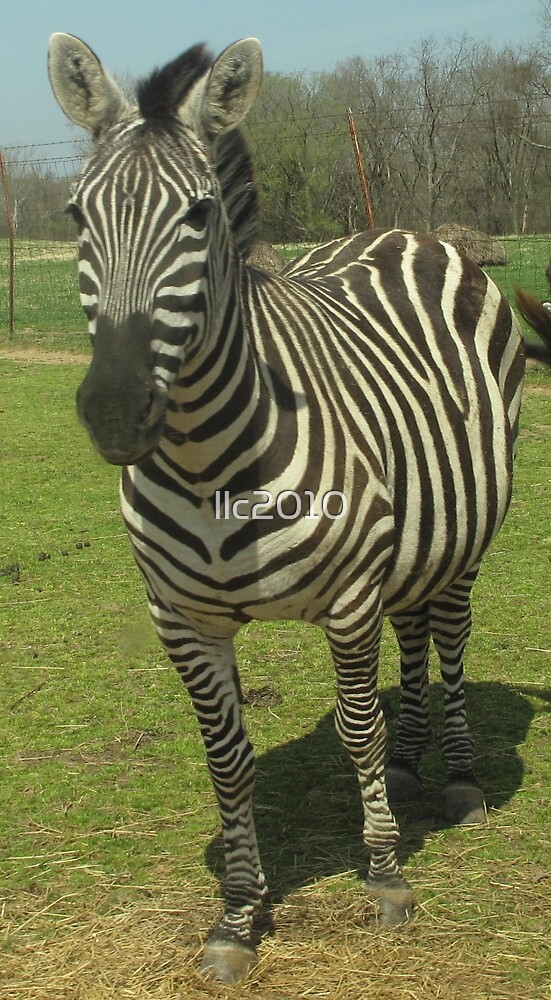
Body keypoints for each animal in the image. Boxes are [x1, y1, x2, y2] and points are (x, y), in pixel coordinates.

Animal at [48, 33, 547, 984]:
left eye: (199, 215)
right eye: (74, 215)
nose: (118, 411)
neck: (209, 462)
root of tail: (405, 232)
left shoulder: (348, 599)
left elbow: (355, 731)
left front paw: (384, 879)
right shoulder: (183, 620)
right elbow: (227, 761)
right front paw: (238, 917)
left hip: (464, 536)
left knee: (450, 636)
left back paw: (456, 777)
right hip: (411, 532)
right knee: (414, 630)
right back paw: (413, 760)